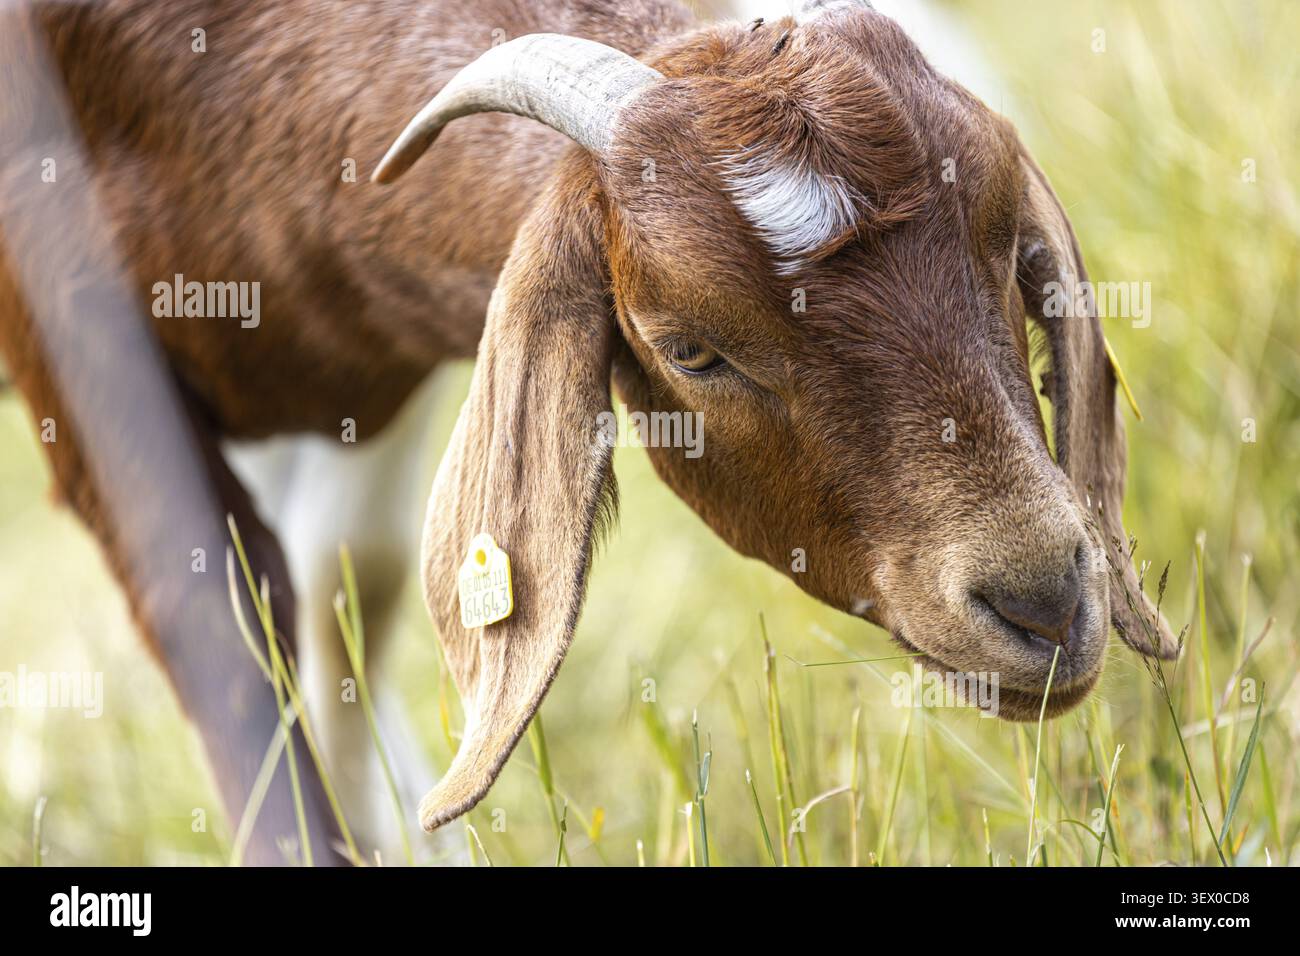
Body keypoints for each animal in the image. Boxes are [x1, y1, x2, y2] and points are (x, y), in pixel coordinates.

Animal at [0, 0, 1178, 861]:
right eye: (688, 346)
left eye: (1003, 247)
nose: (1041, 598)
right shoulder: (67, 322)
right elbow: (231, 622)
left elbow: (357, 578)